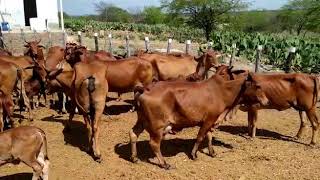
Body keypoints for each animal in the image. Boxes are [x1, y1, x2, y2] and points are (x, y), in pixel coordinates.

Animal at [129, 71, 268, 169]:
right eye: (257, 86)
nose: (266, 101)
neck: (223, 91)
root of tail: (145, 89)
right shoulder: (208, 120)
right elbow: (200, 137)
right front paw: (194, 154)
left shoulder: (213, 120)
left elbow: (209, 137)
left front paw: (212, 152)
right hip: (158, 126)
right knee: (154, 144)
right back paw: (164, 164)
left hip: (141, 120)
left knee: (133, 133)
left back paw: (134, 158)